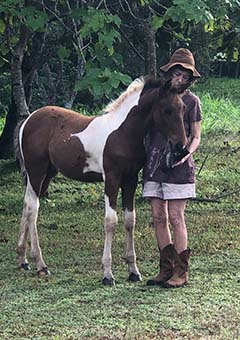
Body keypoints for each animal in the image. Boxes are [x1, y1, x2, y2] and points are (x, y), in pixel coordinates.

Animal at [14, 76, 188, 284]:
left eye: (183, 108)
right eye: (167, 110)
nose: (181, 147)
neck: (123, 133)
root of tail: (27, 120)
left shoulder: (130, 180)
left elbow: (130, 220)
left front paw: (133, 271)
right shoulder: (111, 179)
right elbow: (110, 221)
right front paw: (107, 274)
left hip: (47, 173)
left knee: (26, 205)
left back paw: (23, 260)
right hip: (36, 171)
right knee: (33, 209)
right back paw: (41, 264)